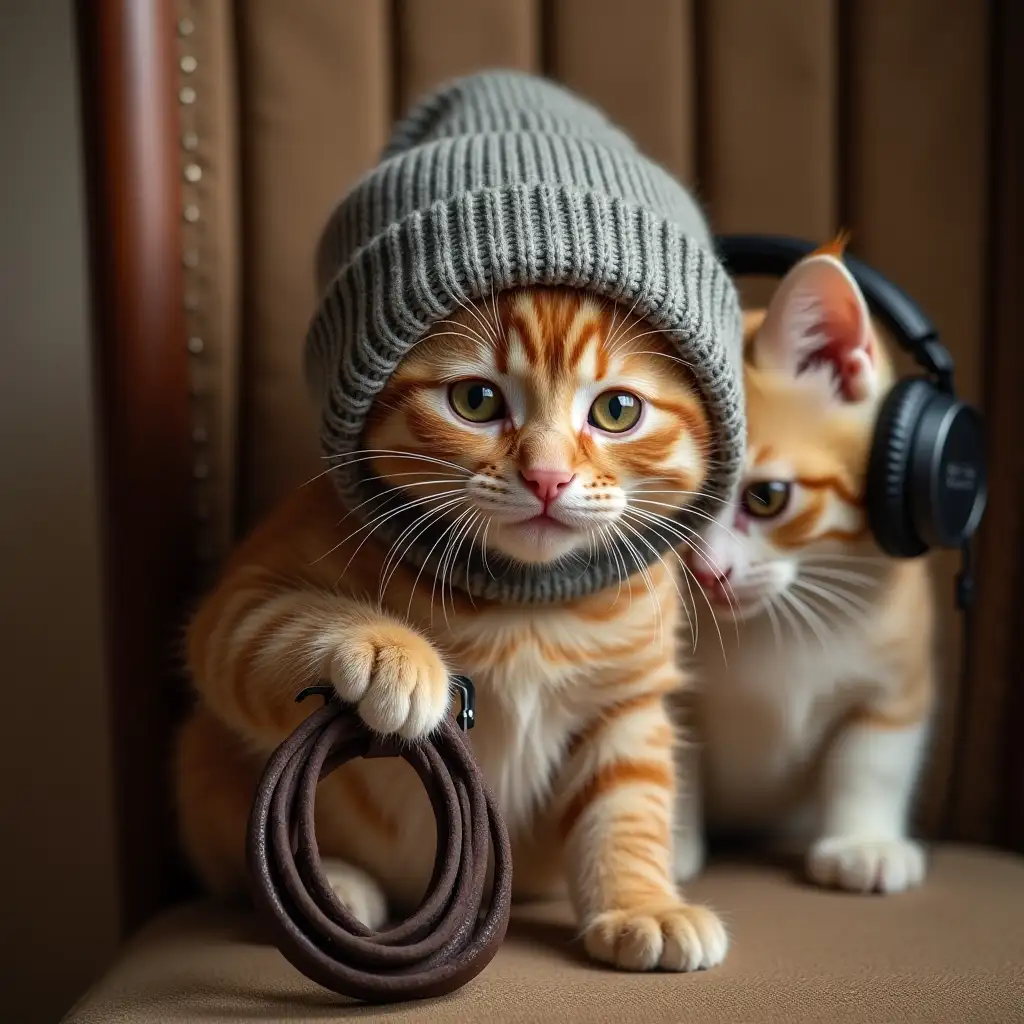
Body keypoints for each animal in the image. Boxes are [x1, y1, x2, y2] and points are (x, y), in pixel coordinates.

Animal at [180, 286, 733, 966]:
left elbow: (628, 804)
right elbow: (269, 625)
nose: (547, 478)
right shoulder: (244, 597)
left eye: (617, 410)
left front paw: (642, 905)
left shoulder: (626, 700)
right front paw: (390, 654)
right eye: (477, 401)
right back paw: (337, 882)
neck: (527, 609)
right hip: (204, 767)